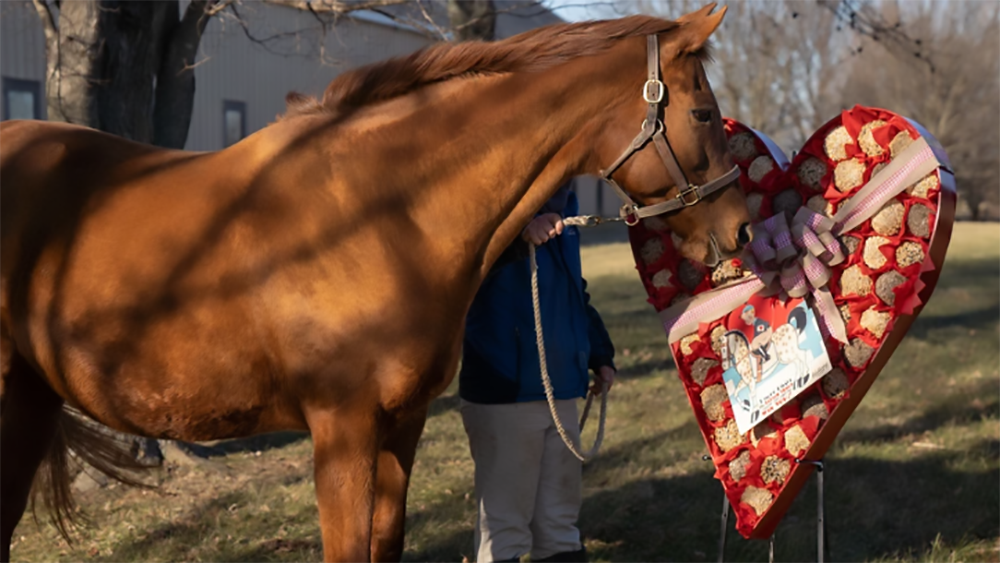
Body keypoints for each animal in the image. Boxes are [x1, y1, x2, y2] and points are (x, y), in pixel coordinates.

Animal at [0, 5, 750, 562]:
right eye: (703, 114)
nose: (742, 229)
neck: (377, 211)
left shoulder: (402, 424)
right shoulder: (343, 432)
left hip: (30, 404)